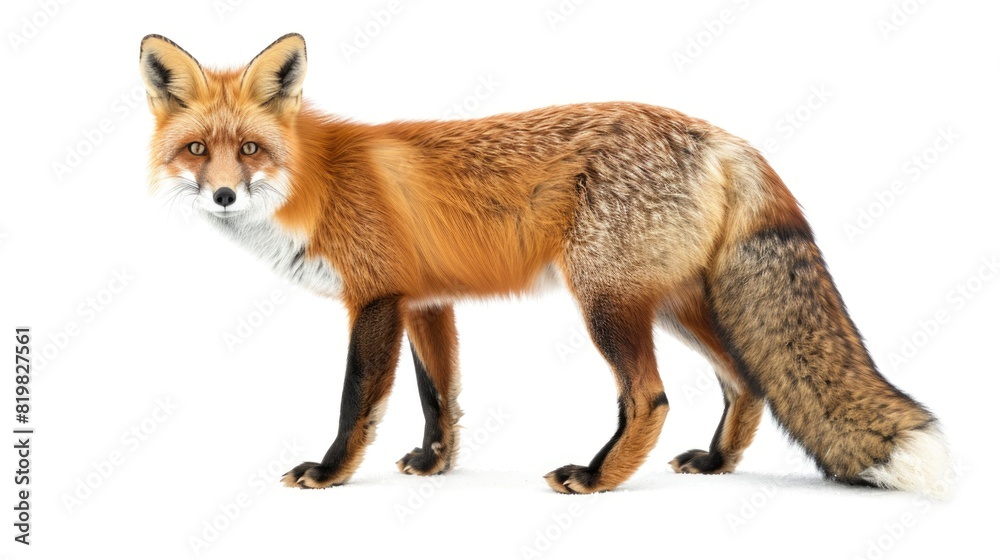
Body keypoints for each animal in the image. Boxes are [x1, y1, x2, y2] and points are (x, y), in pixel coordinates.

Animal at [140, 33, 950, 496]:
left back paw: (596, 478)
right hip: (674, 304)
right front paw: (436, 466)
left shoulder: (375, 299)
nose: (221, 194)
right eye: (197, 150)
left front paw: (331, 472)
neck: (316, 180)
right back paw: (716, 466)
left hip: (607, 301)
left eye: (250, 150)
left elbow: (358, 402)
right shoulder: (425, 302)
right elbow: (441, 398)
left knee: (649, 398)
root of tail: (721, 136)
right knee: (746, 382)